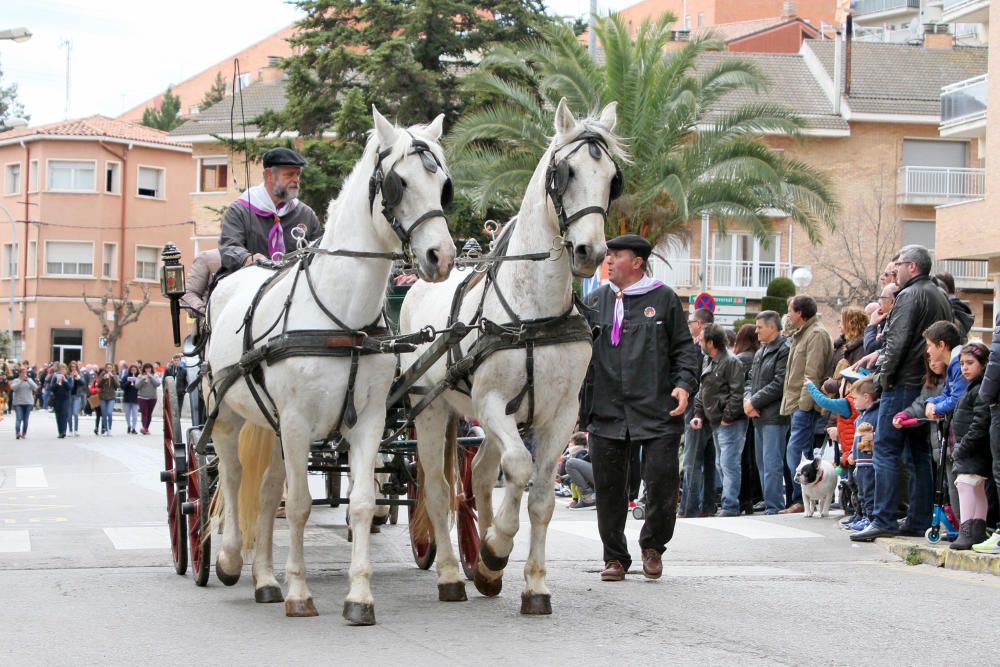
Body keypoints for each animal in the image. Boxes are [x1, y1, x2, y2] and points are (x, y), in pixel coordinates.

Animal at [207, 107, 458, 624]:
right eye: (399, 182)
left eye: (444, 184)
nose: (441, 257)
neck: (341, 315)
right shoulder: (298, 421)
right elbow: (302, 505)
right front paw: (299, 592)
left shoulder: (368, 421)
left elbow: (360, 503)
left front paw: (358, 597)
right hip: (226, 413)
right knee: (233, 475)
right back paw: (231, 559)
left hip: (269, 424)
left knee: (267, 492)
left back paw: (265, 579)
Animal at [400, 100, 624, 616]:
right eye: (565, 172)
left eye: (612, 178)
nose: (591, 251)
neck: (534, 311)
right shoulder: (490, 404)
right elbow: (518, 470)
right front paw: (497, 546)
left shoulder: (560, 417)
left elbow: (539, 497)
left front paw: (528, 582)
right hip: (432, 408)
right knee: (440, 491)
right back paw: (451, 574)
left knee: (480, 474)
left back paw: (481, 567)